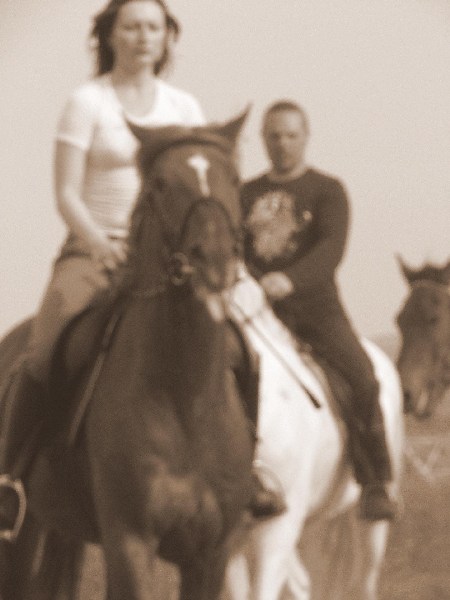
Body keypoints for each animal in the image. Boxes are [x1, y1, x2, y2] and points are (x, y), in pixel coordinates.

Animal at [0, 113, 256, 600]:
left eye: (234, 178)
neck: (186, 397)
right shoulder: (130, 543)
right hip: (20, 531)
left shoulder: (209, 556)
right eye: (159, 183)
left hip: (59, 525)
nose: (213, 262)